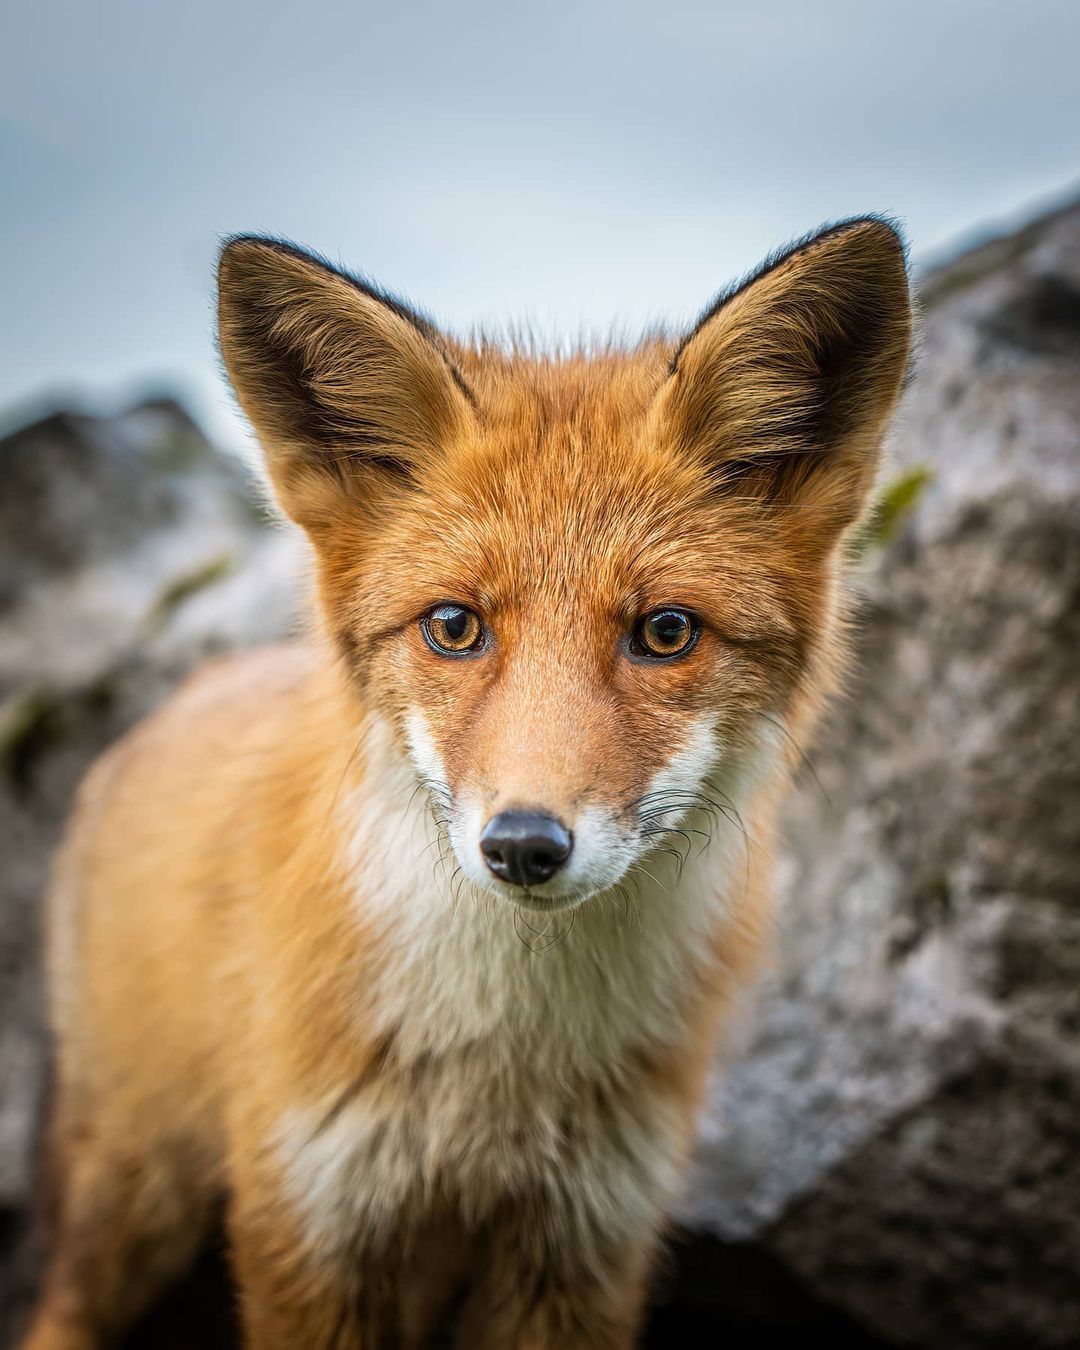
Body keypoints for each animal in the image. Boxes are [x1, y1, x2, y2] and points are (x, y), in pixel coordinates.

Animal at [21, 216, 912, 1344]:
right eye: (454, 626)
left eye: (666, 633)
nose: (524, 845)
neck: (500, 1075)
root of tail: (183, 692)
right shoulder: (310, 1219)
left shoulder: (579, 1245)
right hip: (133, 1195)